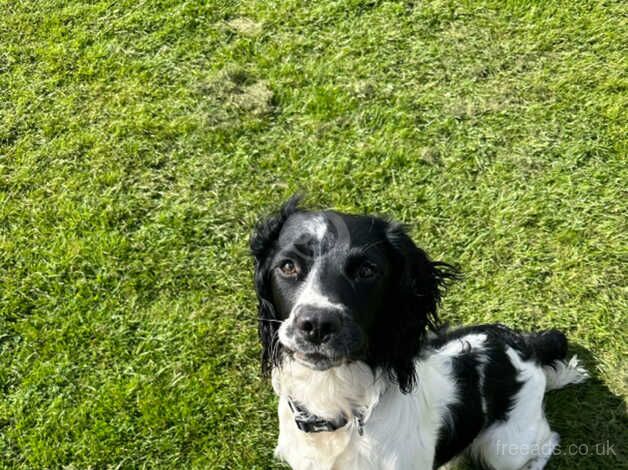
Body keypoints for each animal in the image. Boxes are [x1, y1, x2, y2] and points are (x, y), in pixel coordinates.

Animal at [248, 196, 588, 470]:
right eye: (288, 266)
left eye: (367, 270)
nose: (317, 324)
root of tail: (521, 344)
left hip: (504, 448)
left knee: (548, 440)